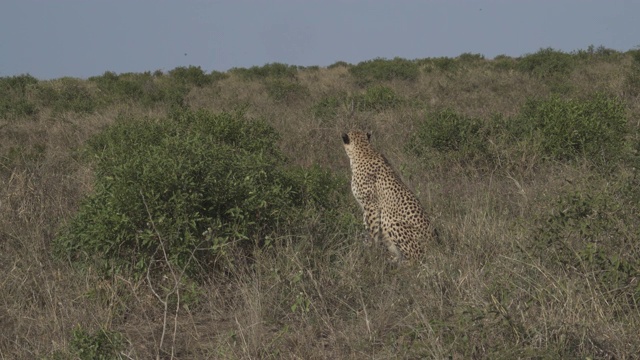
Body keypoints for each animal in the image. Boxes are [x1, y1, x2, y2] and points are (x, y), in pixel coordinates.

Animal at [340, 130, 440, 262]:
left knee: (416, 259)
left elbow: (372, 231)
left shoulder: (371, 205)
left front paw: (372, 251)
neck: (363, 150)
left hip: (392, 221)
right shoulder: (366, 207)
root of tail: (435, 245)